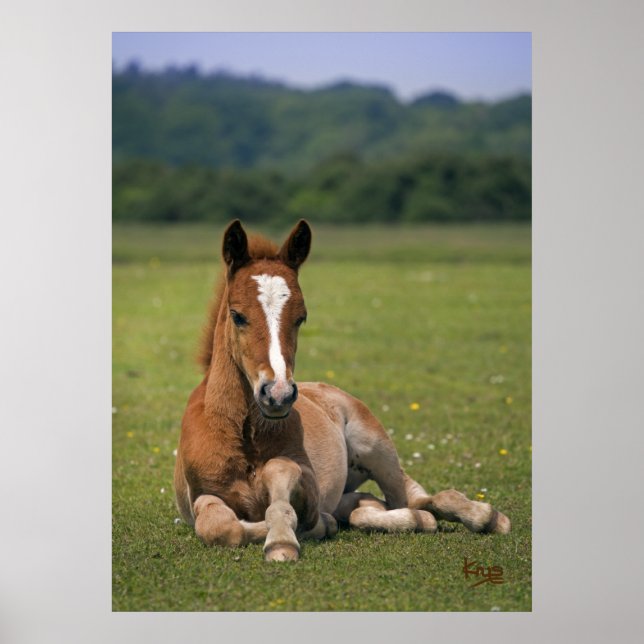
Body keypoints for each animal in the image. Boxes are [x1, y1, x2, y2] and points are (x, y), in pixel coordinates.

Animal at [174, 220, 510, 561]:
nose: (278, 394)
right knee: (372, 506)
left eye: (301, 317)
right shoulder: (200, 495)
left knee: (413, 497)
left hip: (376, 446)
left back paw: (485, 516)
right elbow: (221, 527)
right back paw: (407, 519)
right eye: (238, 315)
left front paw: (285, 538)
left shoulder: (309, 485)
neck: (243, 435)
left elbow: (282, 484)